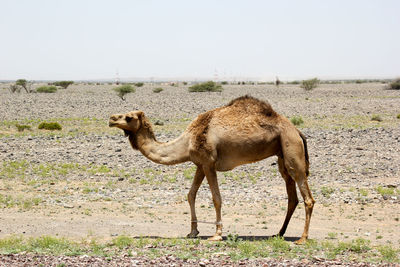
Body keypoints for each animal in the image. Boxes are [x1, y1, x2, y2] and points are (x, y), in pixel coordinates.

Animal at [108, 96, 316, 245]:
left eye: (128, 117)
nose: (111, 119)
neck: (187, 141)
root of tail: (297, 130)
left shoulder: (209, 163)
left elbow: (216, 198)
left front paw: (217, 234)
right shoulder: (200, 164)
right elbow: (191, 194)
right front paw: (193, 231)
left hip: (291, 148)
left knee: (307, 197)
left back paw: (302, 238)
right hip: (282, 154)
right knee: (292, 196)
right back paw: (278, 233)